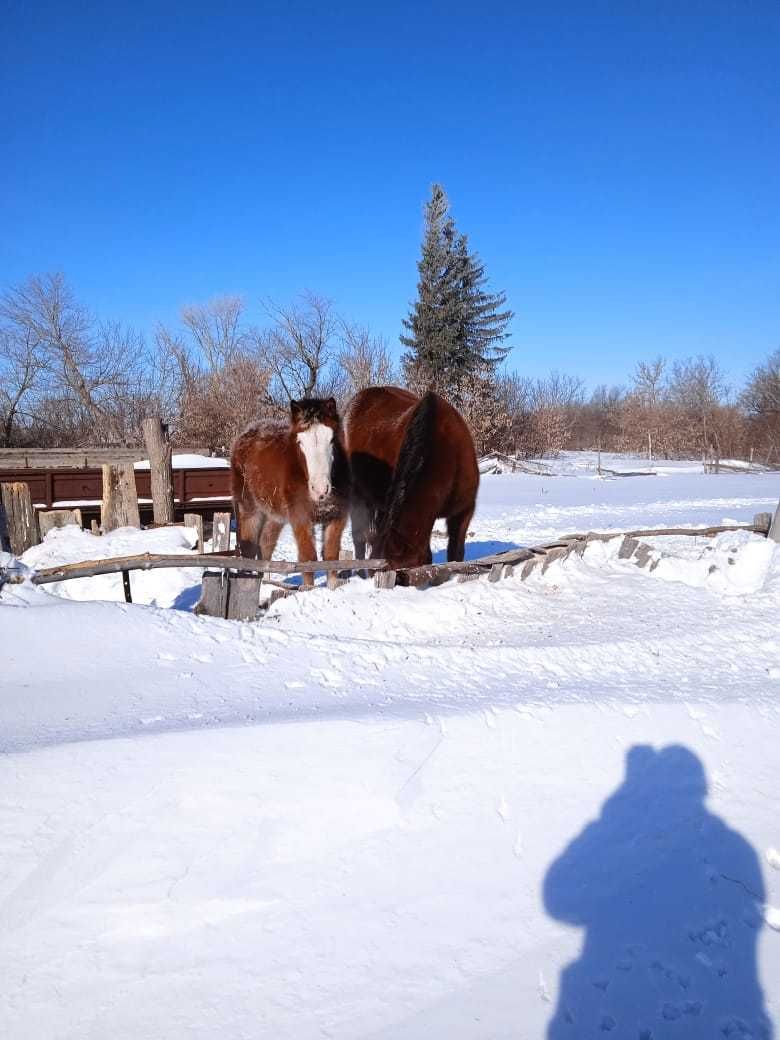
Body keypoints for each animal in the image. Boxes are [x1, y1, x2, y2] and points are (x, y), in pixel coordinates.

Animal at [230, 397, 349, 586]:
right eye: (300, 443)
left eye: (332, 440)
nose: (320, 489)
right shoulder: (300, 518)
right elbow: (308, 558)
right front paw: (308, 590)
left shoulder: (337, 517)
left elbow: (331, 557)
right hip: (249, 508)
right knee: (249, 548)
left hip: (274, 515)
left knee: (265, 545)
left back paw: (265, 582)